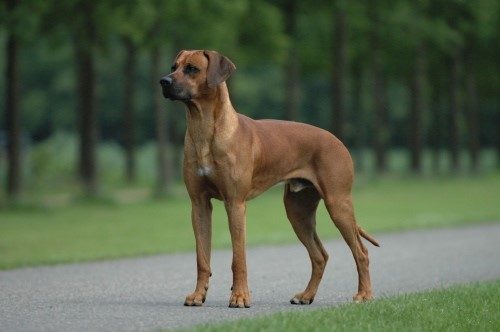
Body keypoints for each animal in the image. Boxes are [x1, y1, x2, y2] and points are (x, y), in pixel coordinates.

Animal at [160, 49, 378, 308]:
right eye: (174, 66)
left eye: (192, 68)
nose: (164, 81)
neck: (204, 129)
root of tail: (337, 140)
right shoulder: (199, 205)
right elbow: (202, 258)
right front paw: (198, 295)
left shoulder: (235, 204)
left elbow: (239, 258)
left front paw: (240, 296)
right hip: (298, 211)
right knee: (320, 255)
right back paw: (306, 295)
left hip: (338, 203)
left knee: (361, 252)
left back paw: (364, 294)